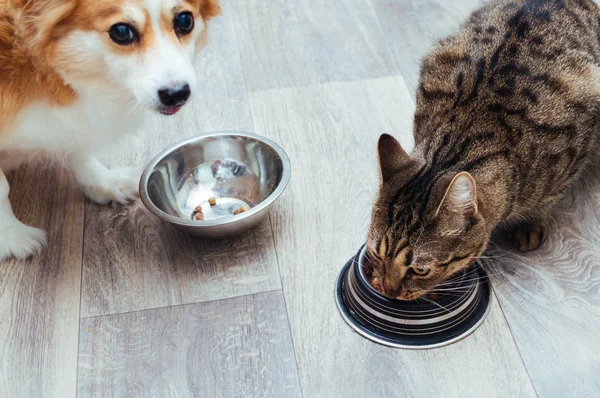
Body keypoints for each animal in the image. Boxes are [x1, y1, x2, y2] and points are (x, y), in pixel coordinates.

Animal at [0, 0, 220, 260]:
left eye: (185, 21)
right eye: (122, 31)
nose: (177, 94)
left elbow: (80, 146)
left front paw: (101, 181)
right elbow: (2, 189)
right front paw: (11, 235)